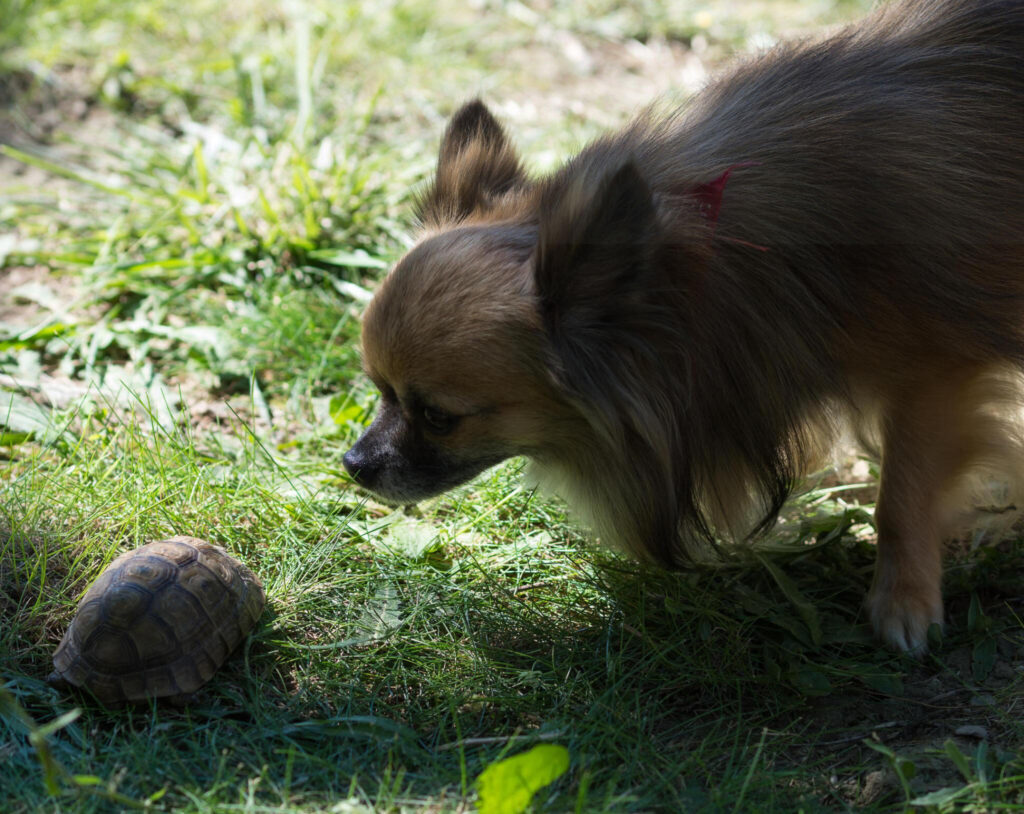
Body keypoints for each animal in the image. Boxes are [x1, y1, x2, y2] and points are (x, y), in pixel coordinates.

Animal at [346, 0, 1024, 651]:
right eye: (378, 392)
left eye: (439, 417)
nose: (354, 464)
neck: (721, 256)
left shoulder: (935, 373)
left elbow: (901, 498)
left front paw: (903, 602)